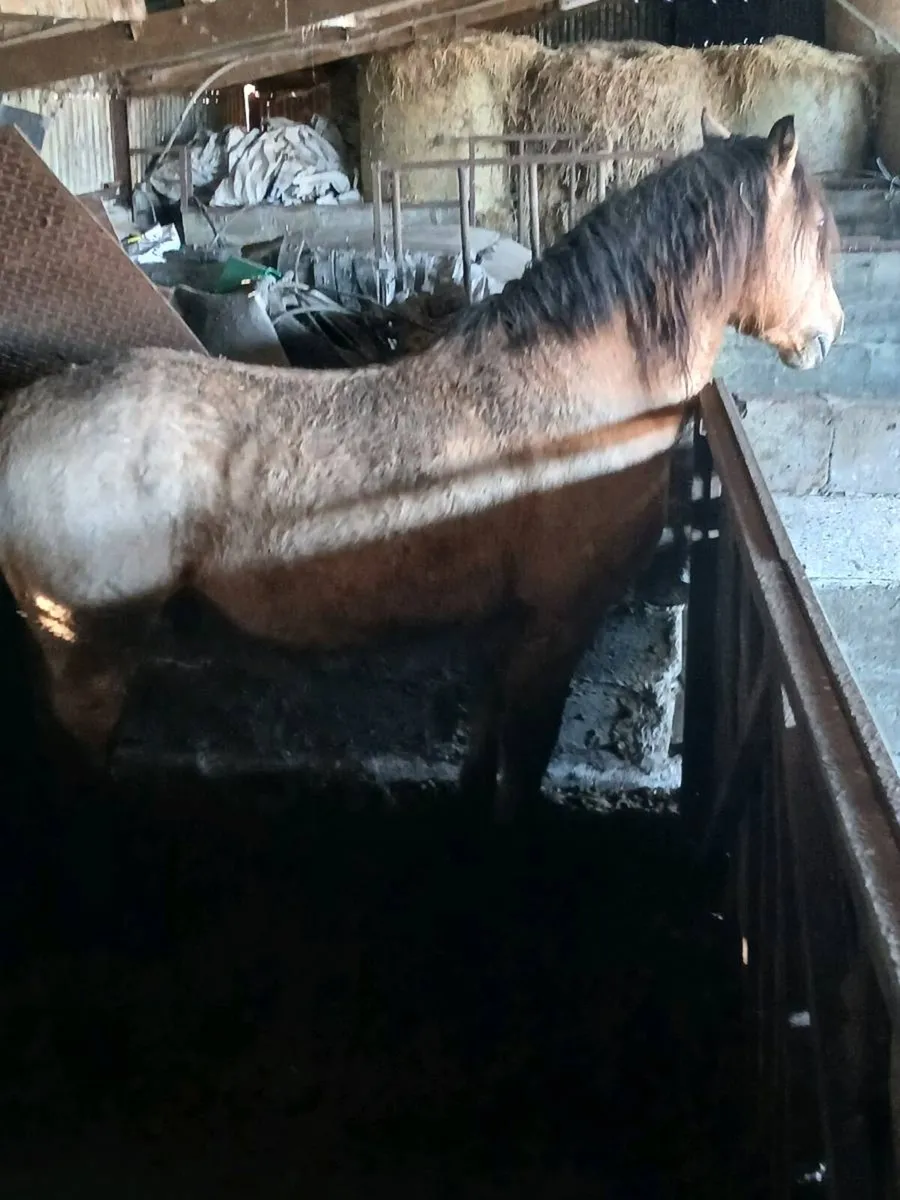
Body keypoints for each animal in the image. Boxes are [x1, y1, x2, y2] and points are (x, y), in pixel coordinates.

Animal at [0, 111, 842, 818]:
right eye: (820, 231)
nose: (828, 333)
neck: (582, 386)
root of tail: (22, 418)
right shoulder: (558, 622)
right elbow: (524, 761)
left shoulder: (506, 626)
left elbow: (485, 747)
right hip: (87, 655)